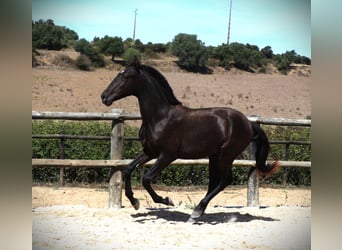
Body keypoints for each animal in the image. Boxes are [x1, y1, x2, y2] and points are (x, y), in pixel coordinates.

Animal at [100, 57, 280, 220]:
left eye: (125, 77)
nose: (104, 96)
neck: (159, 116)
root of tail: (249, 123)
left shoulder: (168, 155)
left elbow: (146, 178)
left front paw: (166, 200)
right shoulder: (150, 152)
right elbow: (129, 169)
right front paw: (134, 202)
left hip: (226, 155)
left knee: (225, 180)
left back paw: (197, 211)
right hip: (214, 156)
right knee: (214, 182)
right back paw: (199, 211)